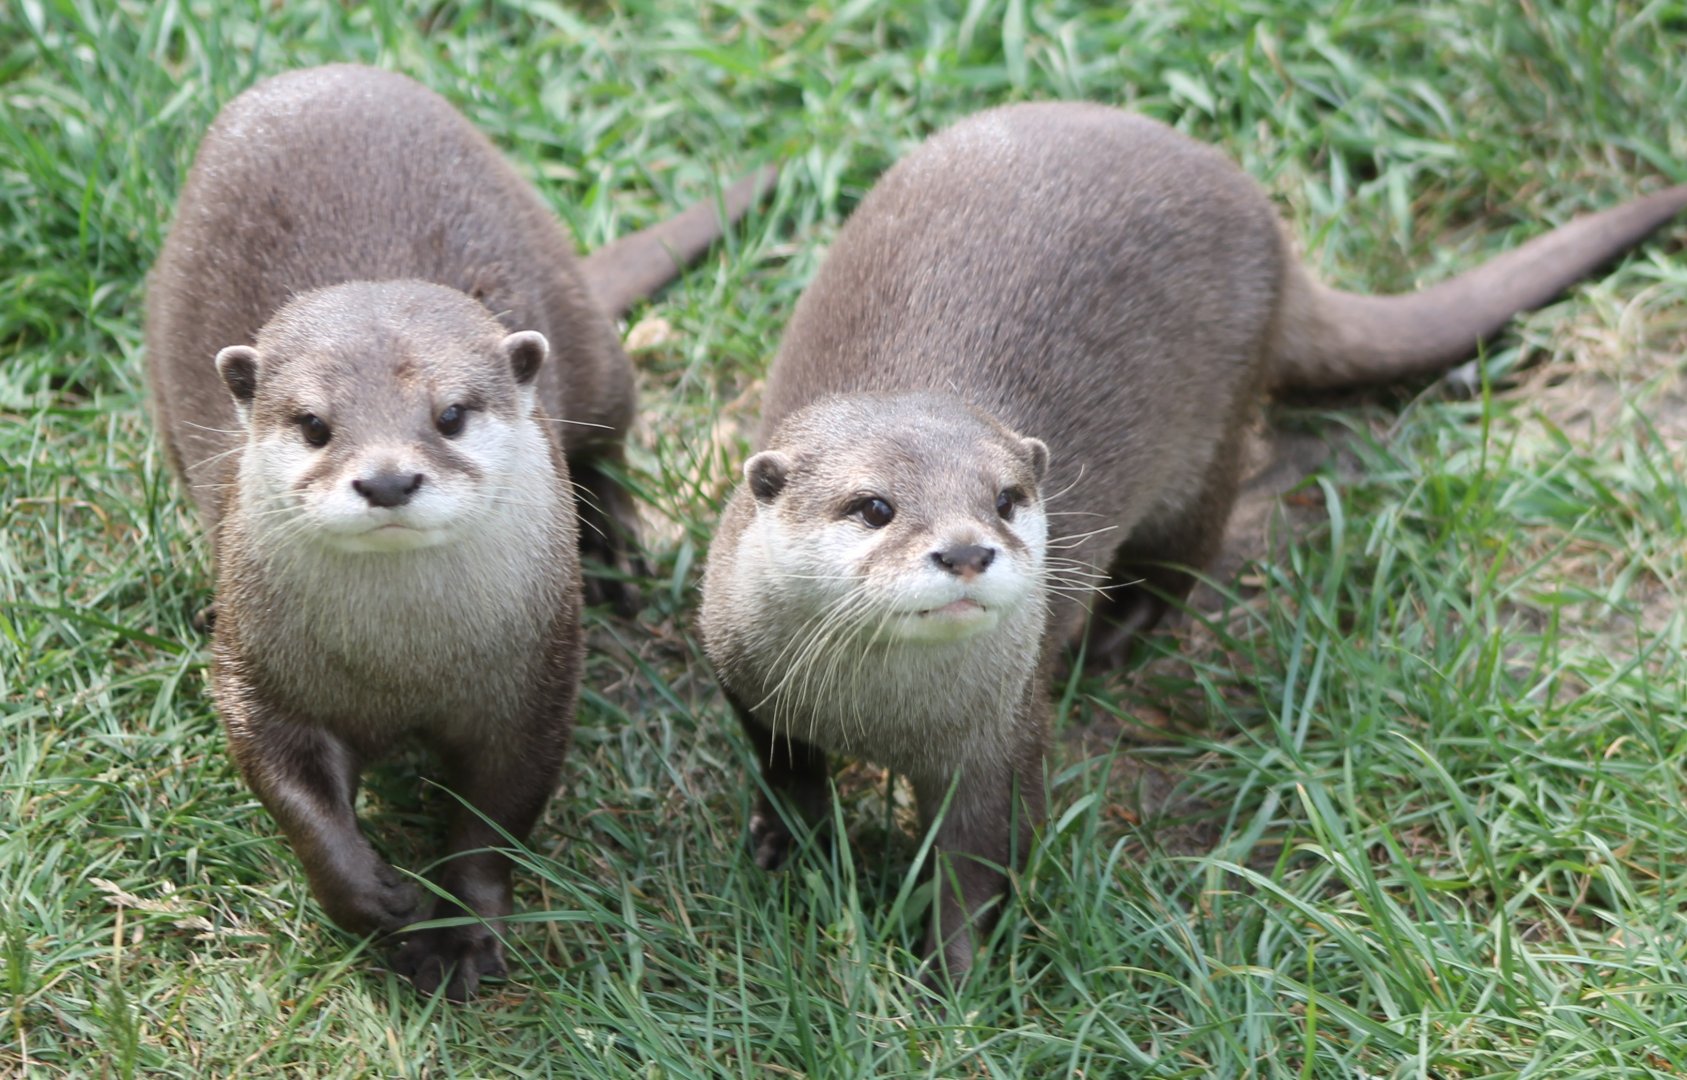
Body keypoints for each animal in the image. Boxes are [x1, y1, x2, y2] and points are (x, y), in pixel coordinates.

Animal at [147, 64, 769, 999]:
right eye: (314, 425)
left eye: (449, 414)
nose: (387, 478)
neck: (403, 664)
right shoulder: (264, 678)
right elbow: (291, 791)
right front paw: (374, 897)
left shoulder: (531, 680)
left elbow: (496, 817)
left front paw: (463, 935)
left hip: (588, 344)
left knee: (608, 440)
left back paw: (616, 555)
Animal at [700, 102, 1687, 981]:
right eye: (873, 507)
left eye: (1007, 499)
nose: (967, 550)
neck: (874, 714)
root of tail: (1267, 220)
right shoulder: (742, 669)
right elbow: (784, 767)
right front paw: (785, 843)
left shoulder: (1002, 738)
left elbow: (981, 864)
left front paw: (953, 982)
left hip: (1207, 438)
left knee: (1190, 554)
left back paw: (1110, 641)